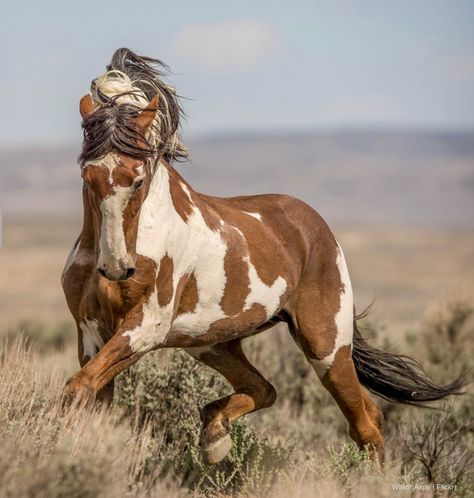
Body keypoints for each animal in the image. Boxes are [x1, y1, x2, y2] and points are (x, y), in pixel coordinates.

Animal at [61, 48, 464, 464]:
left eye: (138, 178)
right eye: (88, 175)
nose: (116, 268)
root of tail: (319, 228)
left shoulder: (143, 329)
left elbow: (76, 390)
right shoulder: (91, 333)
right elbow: (85, 396)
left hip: (327, 347)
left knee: (365, 422)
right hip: (213, 343)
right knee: (268, 390)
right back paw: (215, 435)